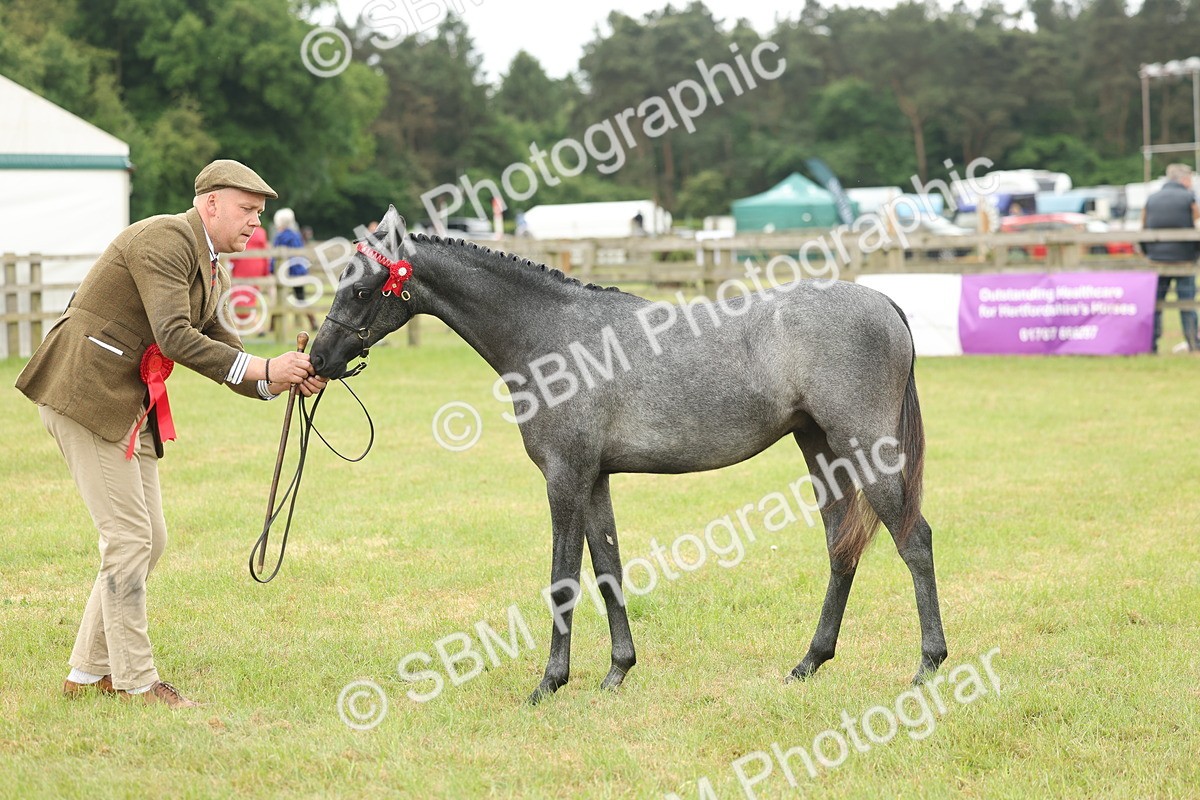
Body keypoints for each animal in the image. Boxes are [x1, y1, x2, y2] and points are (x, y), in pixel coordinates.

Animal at [309, 206, 947, 703]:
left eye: (360, 289)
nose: (318, 359)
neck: (551, 335)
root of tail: (884, 302)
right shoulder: (595, 480)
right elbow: (608, 571)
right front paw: (617, 671)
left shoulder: (565, 478)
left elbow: (564, 579)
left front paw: (550, 682)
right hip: (822, 452)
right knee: (841, 549)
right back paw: (809, 662)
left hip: (866, 449)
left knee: (913, 540)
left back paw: (927, 665)